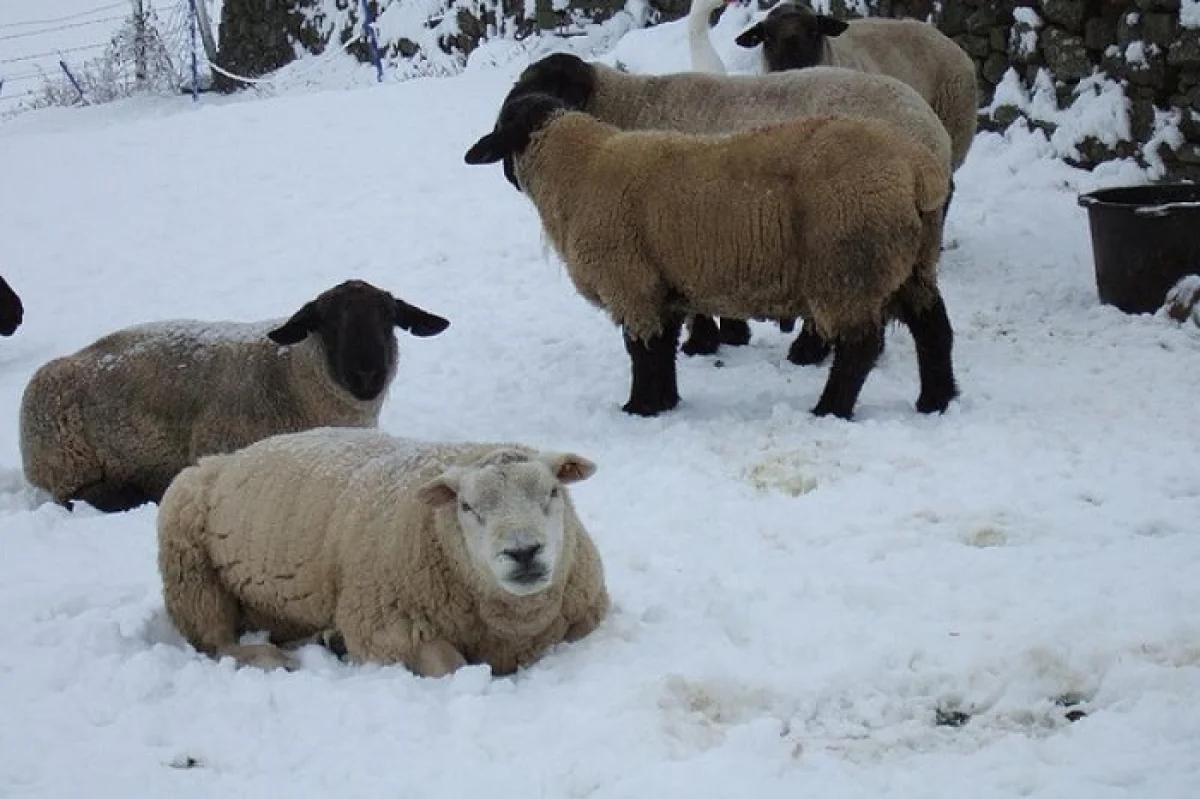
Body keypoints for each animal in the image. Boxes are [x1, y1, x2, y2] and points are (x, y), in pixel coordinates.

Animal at [18, 277, 451, 511]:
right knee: (83, 496)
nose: (367, 374)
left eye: (389, 318)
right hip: (68, 464)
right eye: (325, 322)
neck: (291, 376)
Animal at [157, 422, 609, 671]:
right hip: (189, 574)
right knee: (215, 643)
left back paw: (326, 640)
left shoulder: (583, 616)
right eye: (467, 506)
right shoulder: (383, 625)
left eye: (553, 491)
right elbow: (448, 665)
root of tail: (227, 457)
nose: (523, 552)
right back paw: (271, 659)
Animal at [463, 91, 960, 417]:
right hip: (911, 265)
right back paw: (936, 401)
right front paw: (665, 403)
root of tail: (917, 168)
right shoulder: (661, 286)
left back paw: (829, 409)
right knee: (934, 331)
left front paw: (639, 408)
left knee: (861, 348)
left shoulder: (631, 284)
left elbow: (641, 351)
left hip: (849, 270)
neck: (577, 171)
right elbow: (661, 348)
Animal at [484, 50, 945, 359]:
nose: (507, 172)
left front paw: (703, 342)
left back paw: (809, 351)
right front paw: (727, 335)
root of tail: (930, 139)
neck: (624, 107)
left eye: (547, 89)